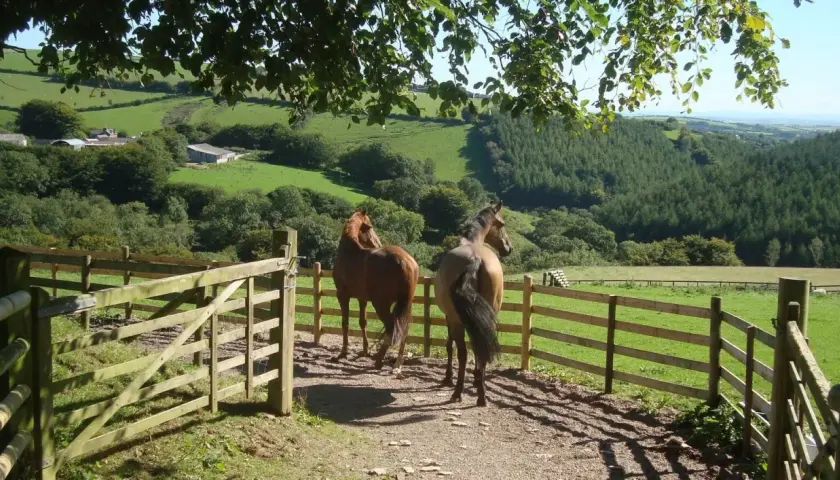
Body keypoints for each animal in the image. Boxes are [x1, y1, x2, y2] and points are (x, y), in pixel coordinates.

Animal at [333, 208, 420, 371]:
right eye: (370, 227)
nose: (378, 243)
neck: (349, 252)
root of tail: (404, 261)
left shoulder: (342, 295)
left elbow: (345, 323)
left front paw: (343, 353)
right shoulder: (362, 299)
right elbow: (363, 322)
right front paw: (365, 350)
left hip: (381, 304)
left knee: (391, 327)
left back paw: (379, 360)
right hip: (406, 304)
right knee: (404, 329)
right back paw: (397, 362)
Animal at [435, 201, 513, 406]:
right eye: (502, 224)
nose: (508, 248)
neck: (470, 243)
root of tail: (475, 259)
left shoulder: (449, 317)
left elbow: (450, 345)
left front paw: (448, 377)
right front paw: (477, 379)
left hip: (457, 320)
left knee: (462, 352)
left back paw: (458, 392)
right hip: (488, 315)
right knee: (481, 346)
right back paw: (481, 394)